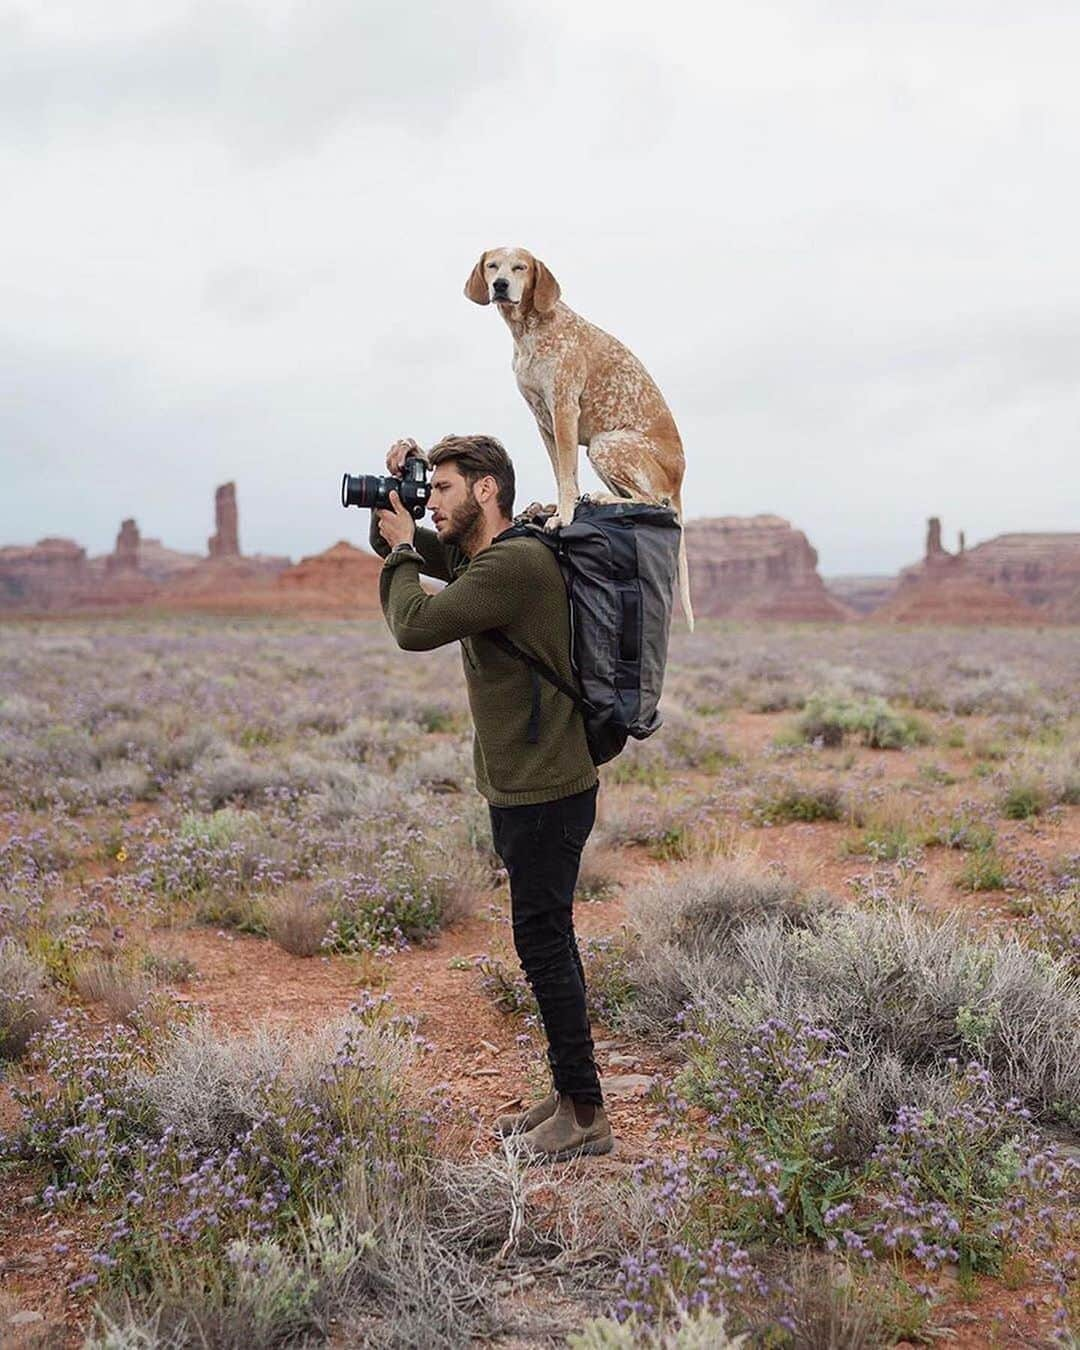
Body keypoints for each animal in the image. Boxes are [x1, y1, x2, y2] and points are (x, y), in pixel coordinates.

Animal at [464, 247, 691, 626]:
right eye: (492, 266)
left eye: (520, 267)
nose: (500, 285)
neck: (529, 330)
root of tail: (680, 479)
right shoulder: (543, 419)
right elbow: (562, 474)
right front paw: (556, 508)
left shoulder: (564, 410)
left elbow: (568, 476)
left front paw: (564, 516)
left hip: (606, 444)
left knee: (652, 500)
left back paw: (599, 498)